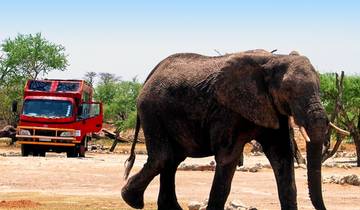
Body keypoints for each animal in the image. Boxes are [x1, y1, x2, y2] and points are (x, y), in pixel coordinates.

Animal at [122, 49, 330, 210]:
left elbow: (282, 157)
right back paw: (131, 200)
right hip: (151, 110)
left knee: (173, 159)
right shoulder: (227, 112)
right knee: (163, 157)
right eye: (288, 91)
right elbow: (228, 158)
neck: (273, 59)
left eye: (319, 87)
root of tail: (150, 76)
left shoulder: (273, 109)